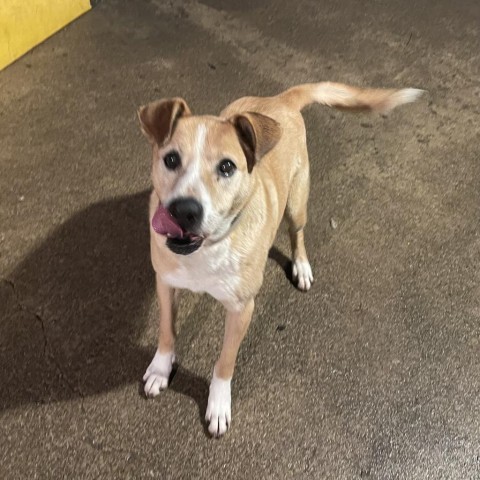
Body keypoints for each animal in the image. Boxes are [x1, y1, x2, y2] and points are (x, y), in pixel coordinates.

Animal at [137, 81, 422, 436]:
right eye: (171, 159)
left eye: (227, 167)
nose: (184, 210)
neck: (208, 249)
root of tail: (280, 100)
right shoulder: (165, 283)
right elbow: (165, 331)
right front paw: (161, 368)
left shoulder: (242, 309)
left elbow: (225, 362)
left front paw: (218, 403)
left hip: (297, 203)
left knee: (297, 234)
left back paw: (301, 266)